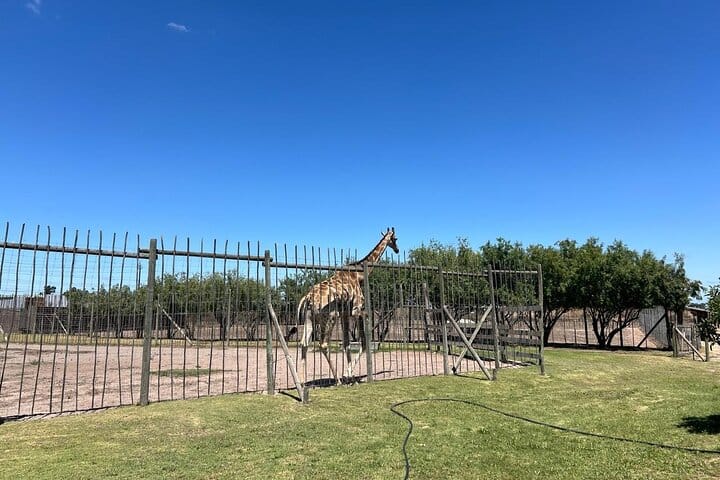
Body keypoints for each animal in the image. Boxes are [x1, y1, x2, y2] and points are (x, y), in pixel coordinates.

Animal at [297, 228, 399, 385]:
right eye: (395, 239)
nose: (397, 250)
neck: (359, 275)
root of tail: (308, 298)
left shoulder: (345, 314)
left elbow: (346, 343)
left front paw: (349, 376)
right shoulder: (357, 310)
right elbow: (363, 342)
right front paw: (348, 376)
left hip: (310, 319)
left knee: (304, 344)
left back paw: (301, 382)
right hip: (329, 317)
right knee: (323, 344)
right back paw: (337, 380)